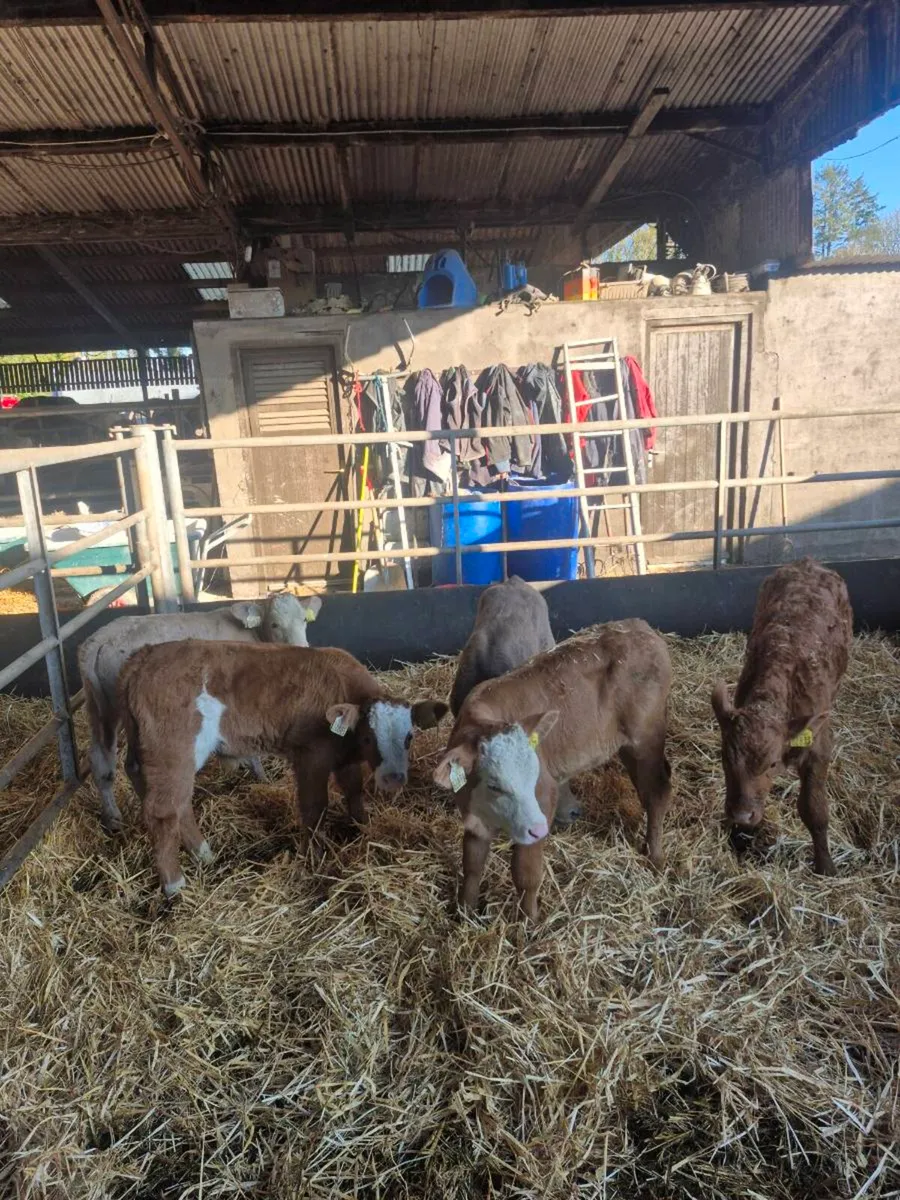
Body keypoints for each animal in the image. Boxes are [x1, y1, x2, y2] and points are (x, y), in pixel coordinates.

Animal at [78, 593, 322, 835]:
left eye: (304, 619)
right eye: (274, 624)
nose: (302, 649)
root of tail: (100, 639)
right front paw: (260, 776)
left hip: (101, 710)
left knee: (101, 762)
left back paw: (113, 819)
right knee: (134, 766)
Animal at [117, 639, 448, 896]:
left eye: (409, 737)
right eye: (369, 737)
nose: (394, 778)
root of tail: (145, 655)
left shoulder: (345, 758)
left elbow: (353, 792)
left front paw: (360, 828)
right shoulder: (311, 754)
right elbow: (315, 806)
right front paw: (314, 855)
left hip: (155, 755)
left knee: (177, 801)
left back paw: (205, 855)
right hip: (173, 750)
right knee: (163, 811)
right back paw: (174, 884)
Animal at [433, 619, 673, 919]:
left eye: (534, 776)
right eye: (493, 783)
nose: (537, 828)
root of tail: (641, 627)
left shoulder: (544, 798)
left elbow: (526, 872)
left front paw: (530, 921)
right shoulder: (473, 817)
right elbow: (473, 864)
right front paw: (465, 911)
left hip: (646, 737)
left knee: (658, 791)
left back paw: (655, 857)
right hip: (627, 746)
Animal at [711, 557, 852, 875]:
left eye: (773, 763)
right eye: (725, 757)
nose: (742, 814)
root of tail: (809, 563)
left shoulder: (819, 745)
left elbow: (814, 808)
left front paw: (825, 865)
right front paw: (740, 839)